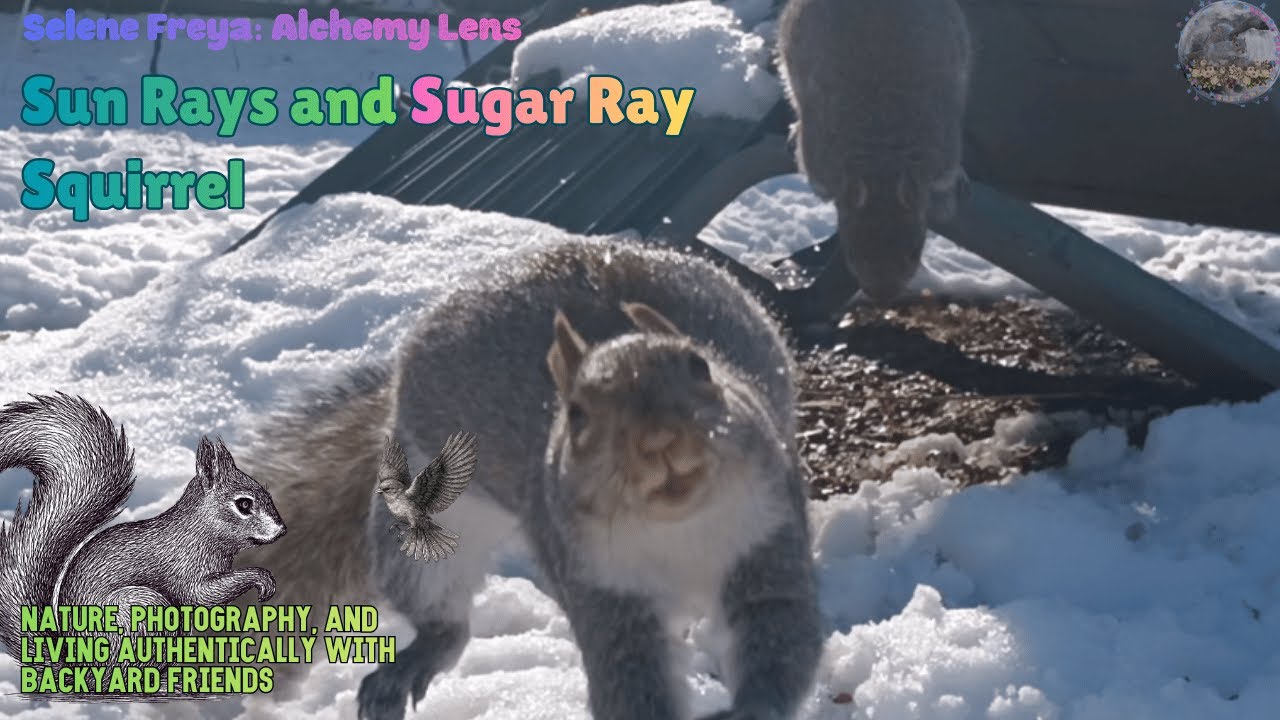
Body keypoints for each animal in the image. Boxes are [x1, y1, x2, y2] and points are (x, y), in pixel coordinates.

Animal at [0, 393, 285, 662]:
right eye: (244, 504)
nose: (281, 530)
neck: (199, 532)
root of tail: (81, 667)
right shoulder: (184, 569)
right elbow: (202, 595)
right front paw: (260, 578)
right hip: (141, 608)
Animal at [232, 238, 824, 720]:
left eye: (702, 367)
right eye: (577, 414)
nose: (661, 439)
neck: (678, 528)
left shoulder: (768, 532)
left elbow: (778, 628)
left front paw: (754, 705)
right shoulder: (597, 584)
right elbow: (631, 673)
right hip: (418, 538)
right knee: (446, 625)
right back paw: (410, 665)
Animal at [777, 0, 973, 303]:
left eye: (914, 252)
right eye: (852, 253)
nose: (882, 296)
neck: (881, 163)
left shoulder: (945, 151)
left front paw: (953, 188)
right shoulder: (818, 156)